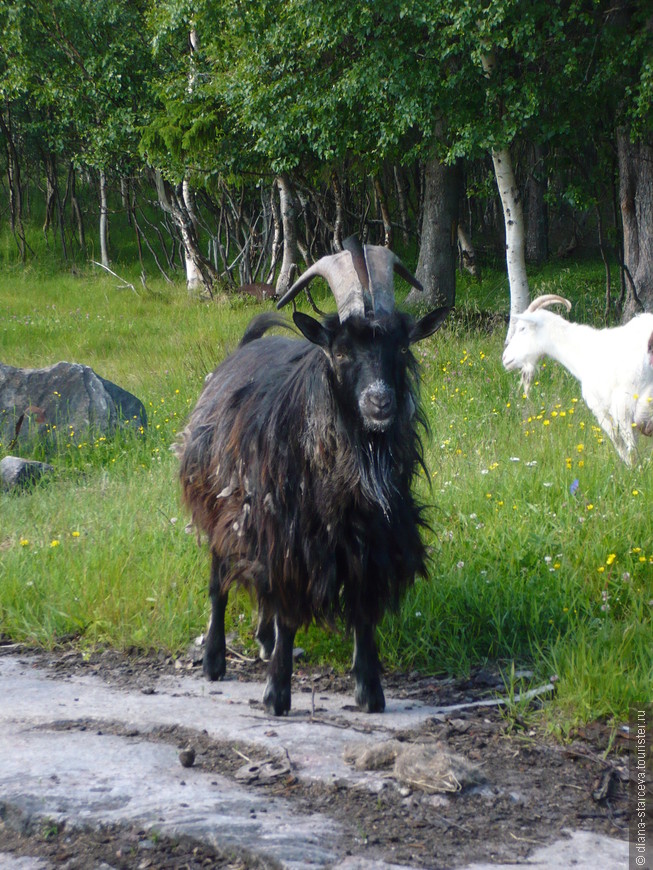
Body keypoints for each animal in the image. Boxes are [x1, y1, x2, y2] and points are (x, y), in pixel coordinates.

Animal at [176, 237, 448, 716]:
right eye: (340, 351)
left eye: (401, 348)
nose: (380, 403)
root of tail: (241, 350)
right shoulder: (289, 535)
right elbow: (287, 610)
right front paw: (276, 695)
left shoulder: (371, 540)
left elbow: (363, 610)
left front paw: (370, 691)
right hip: (221, 507)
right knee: (218, 582)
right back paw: (214, 660)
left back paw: (263, 642)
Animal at [502, 296, 653, 466]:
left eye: (522, 328)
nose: (505, 358)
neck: (582, 351)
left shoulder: (603, 408)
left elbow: (622, 445)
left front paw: (631, 470)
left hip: (627, 402)